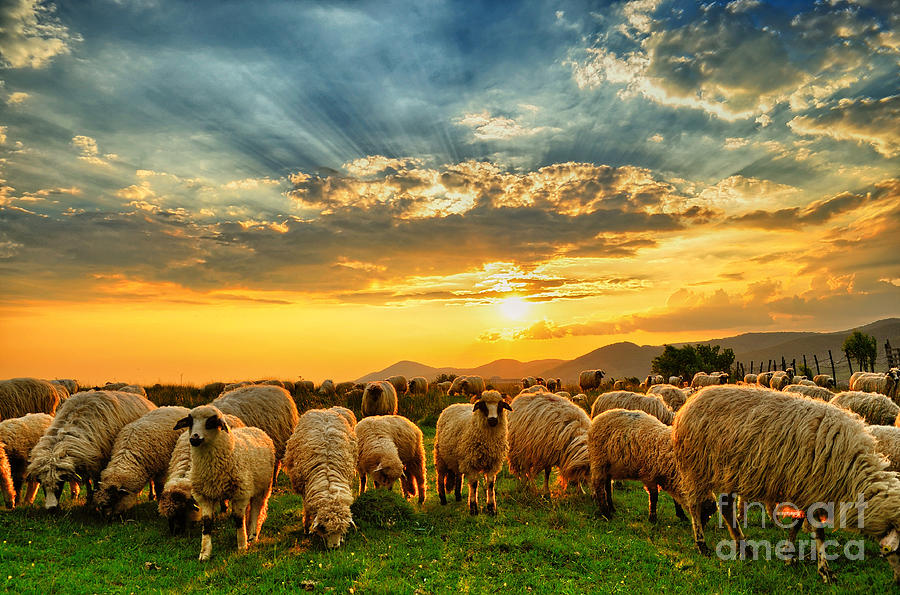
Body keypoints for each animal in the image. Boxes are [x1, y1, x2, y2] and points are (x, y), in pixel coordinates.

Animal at [25, 392, 156, 508]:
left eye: (59, 484)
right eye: (42, 485)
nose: (51, 508)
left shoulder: (100, 462)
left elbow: (97, 481)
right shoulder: (86, 461)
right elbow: (87, 481)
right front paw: (88, 500)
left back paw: (152, 495)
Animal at [173, 406, 274, 564]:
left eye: (211, 422)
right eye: (190, 422)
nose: (194, 438)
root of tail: (255, 428)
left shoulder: (241, 493)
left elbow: (238, 519)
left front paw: (242, 545)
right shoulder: (204, 495)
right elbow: (207, 523)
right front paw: (205, 553)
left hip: (263, 488)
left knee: (256, 509)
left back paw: (252, 535)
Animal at [284, 406, 356, 548]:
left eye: (342, 530)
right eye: (325, 528)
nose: (334, 547)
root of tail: (325, 409)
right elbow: (306, 509)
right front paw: (306, 528)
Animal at [672, 386, 900, 588]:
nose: (897, 582)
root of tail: (690, 402)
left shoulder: (802, 490)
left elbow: (797, 525)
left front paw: (790, 556)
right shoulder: (811, 490)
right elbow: (819, 533)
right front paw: (825, 571)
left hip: (729, 473)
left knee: (727, 509)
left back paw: (743, 546)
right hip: (696, 467)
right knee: (694, 506)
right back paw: (702, 545)